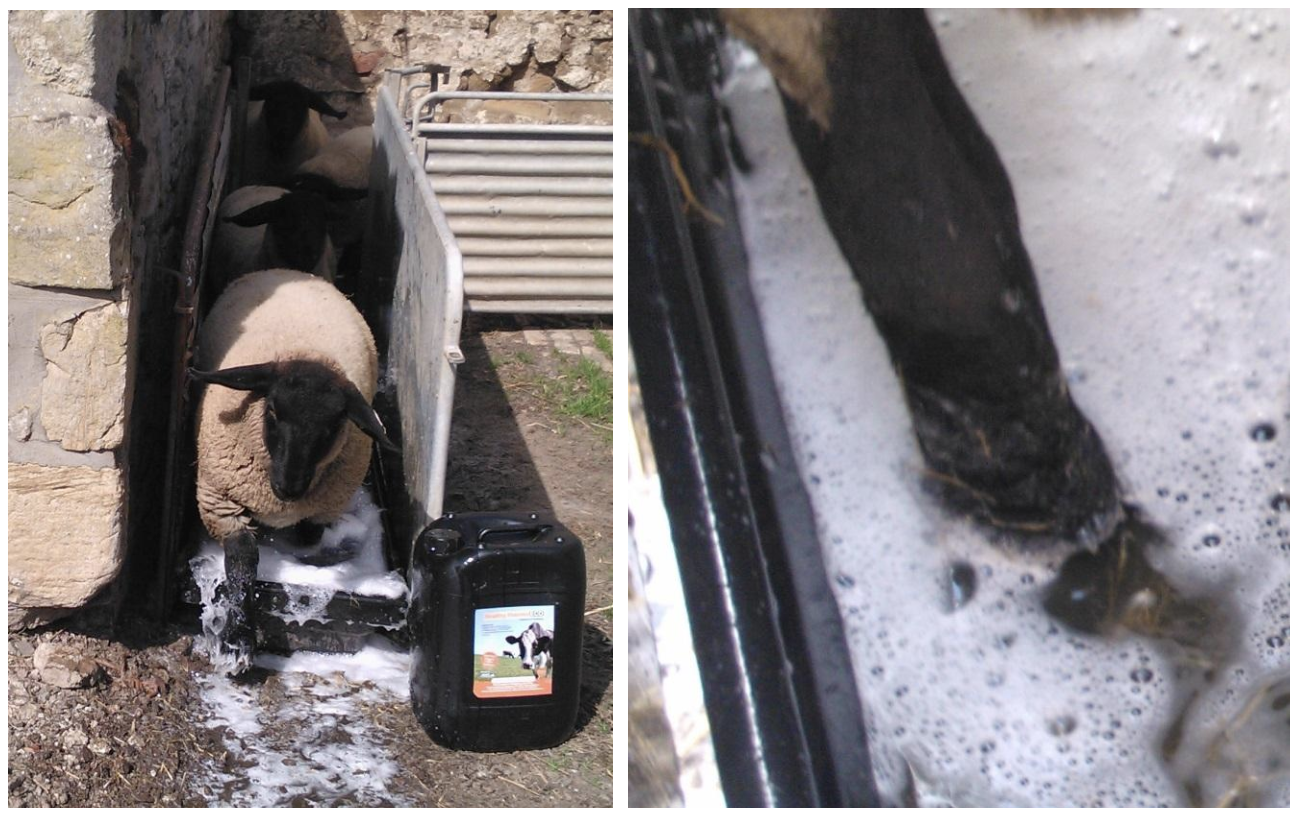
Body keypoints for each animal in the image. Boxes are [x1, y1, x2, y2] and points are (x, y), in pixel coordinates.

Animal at [190, 268, 393, 671]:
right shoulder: (219, 501)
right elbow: (243, 562)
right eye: (272, 411)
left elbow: (308, 537)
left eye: (334, 426)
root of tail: (292, 272)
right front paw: (237, 644)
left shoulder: (323, 510)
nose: (290, 487)